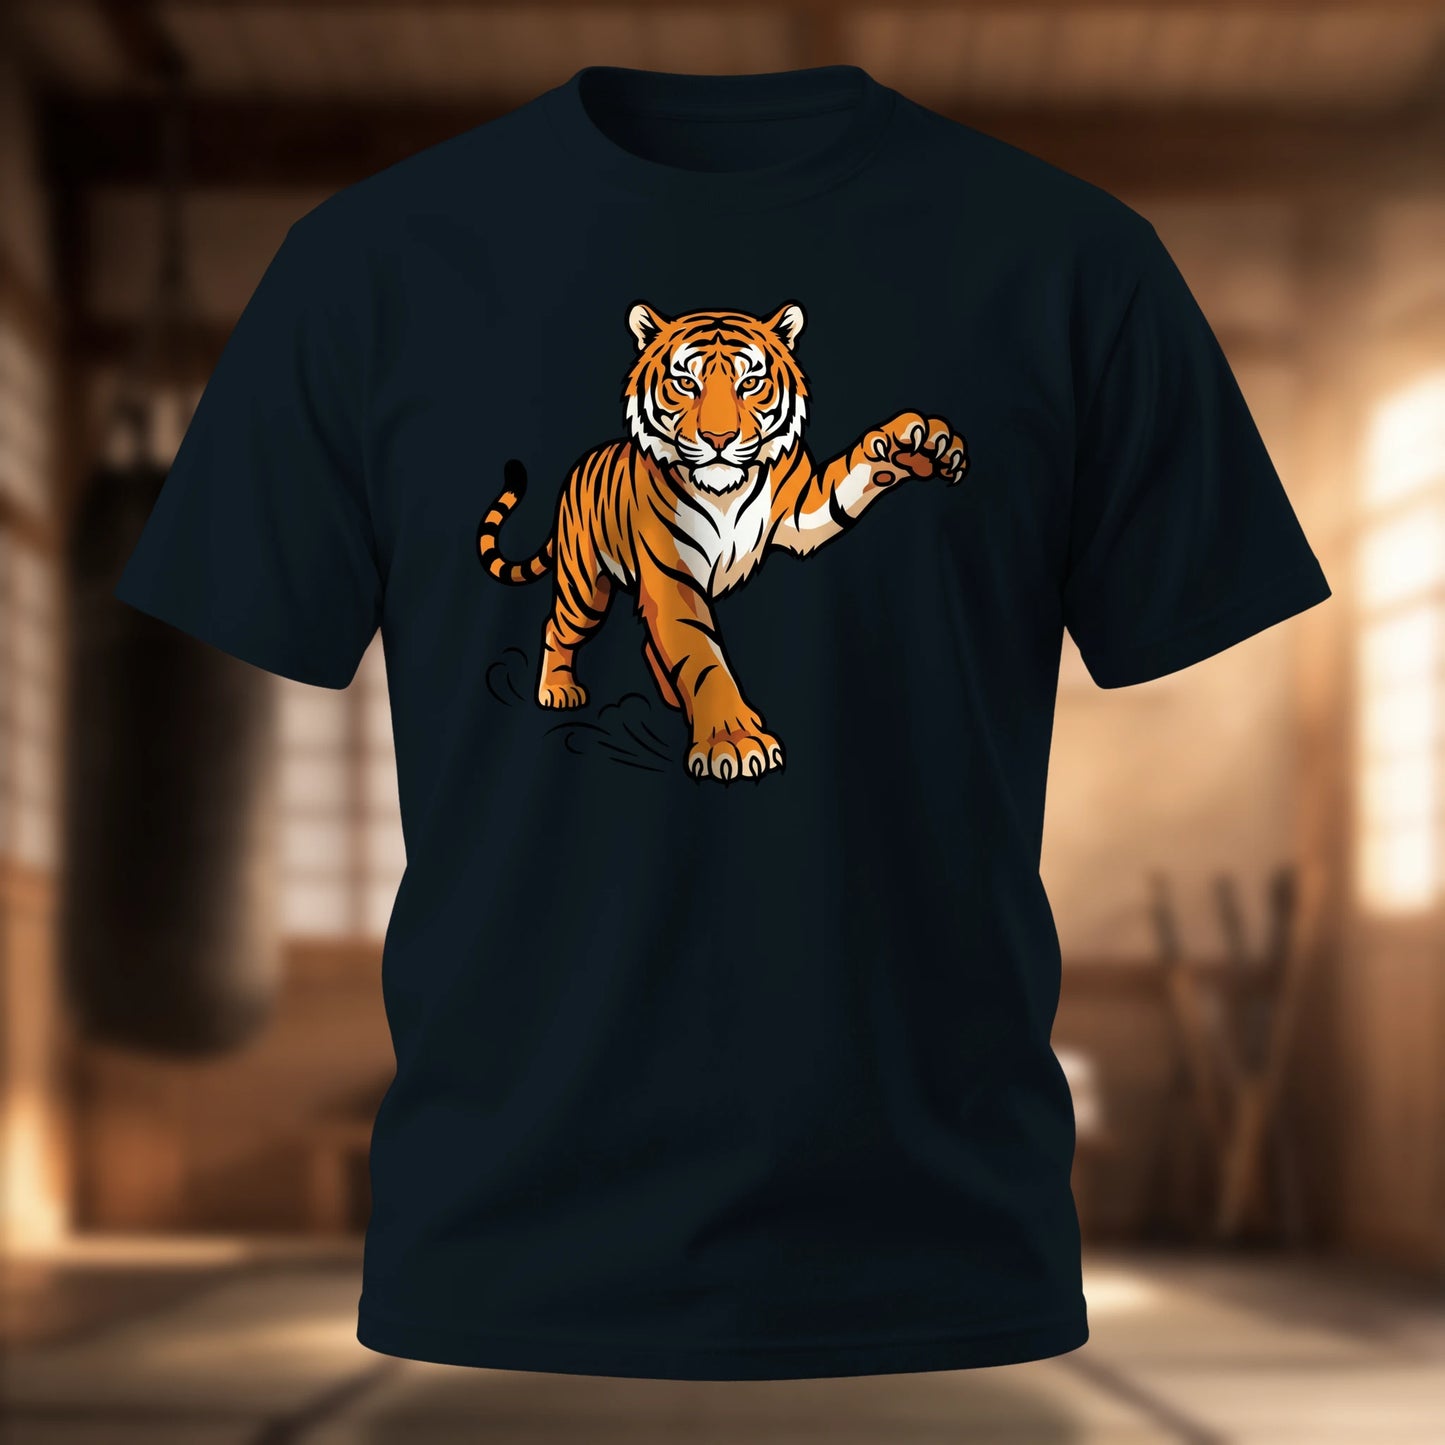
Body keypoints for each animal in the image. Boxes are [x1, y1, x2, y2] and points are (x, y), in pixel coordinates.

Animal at [478, 301, 967, 782]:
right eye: (685, 383)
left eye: (750, 383)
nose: (719, 439)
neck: (725, 491)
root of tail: (581, 463)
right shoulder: (671, 578)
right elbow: (702, 656)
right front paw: (733, 741)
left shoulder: (801, 509)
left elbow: (848, 479)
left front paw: (915, 445)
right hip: (585, 585)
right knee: (556, 627)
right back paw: (558, 691)